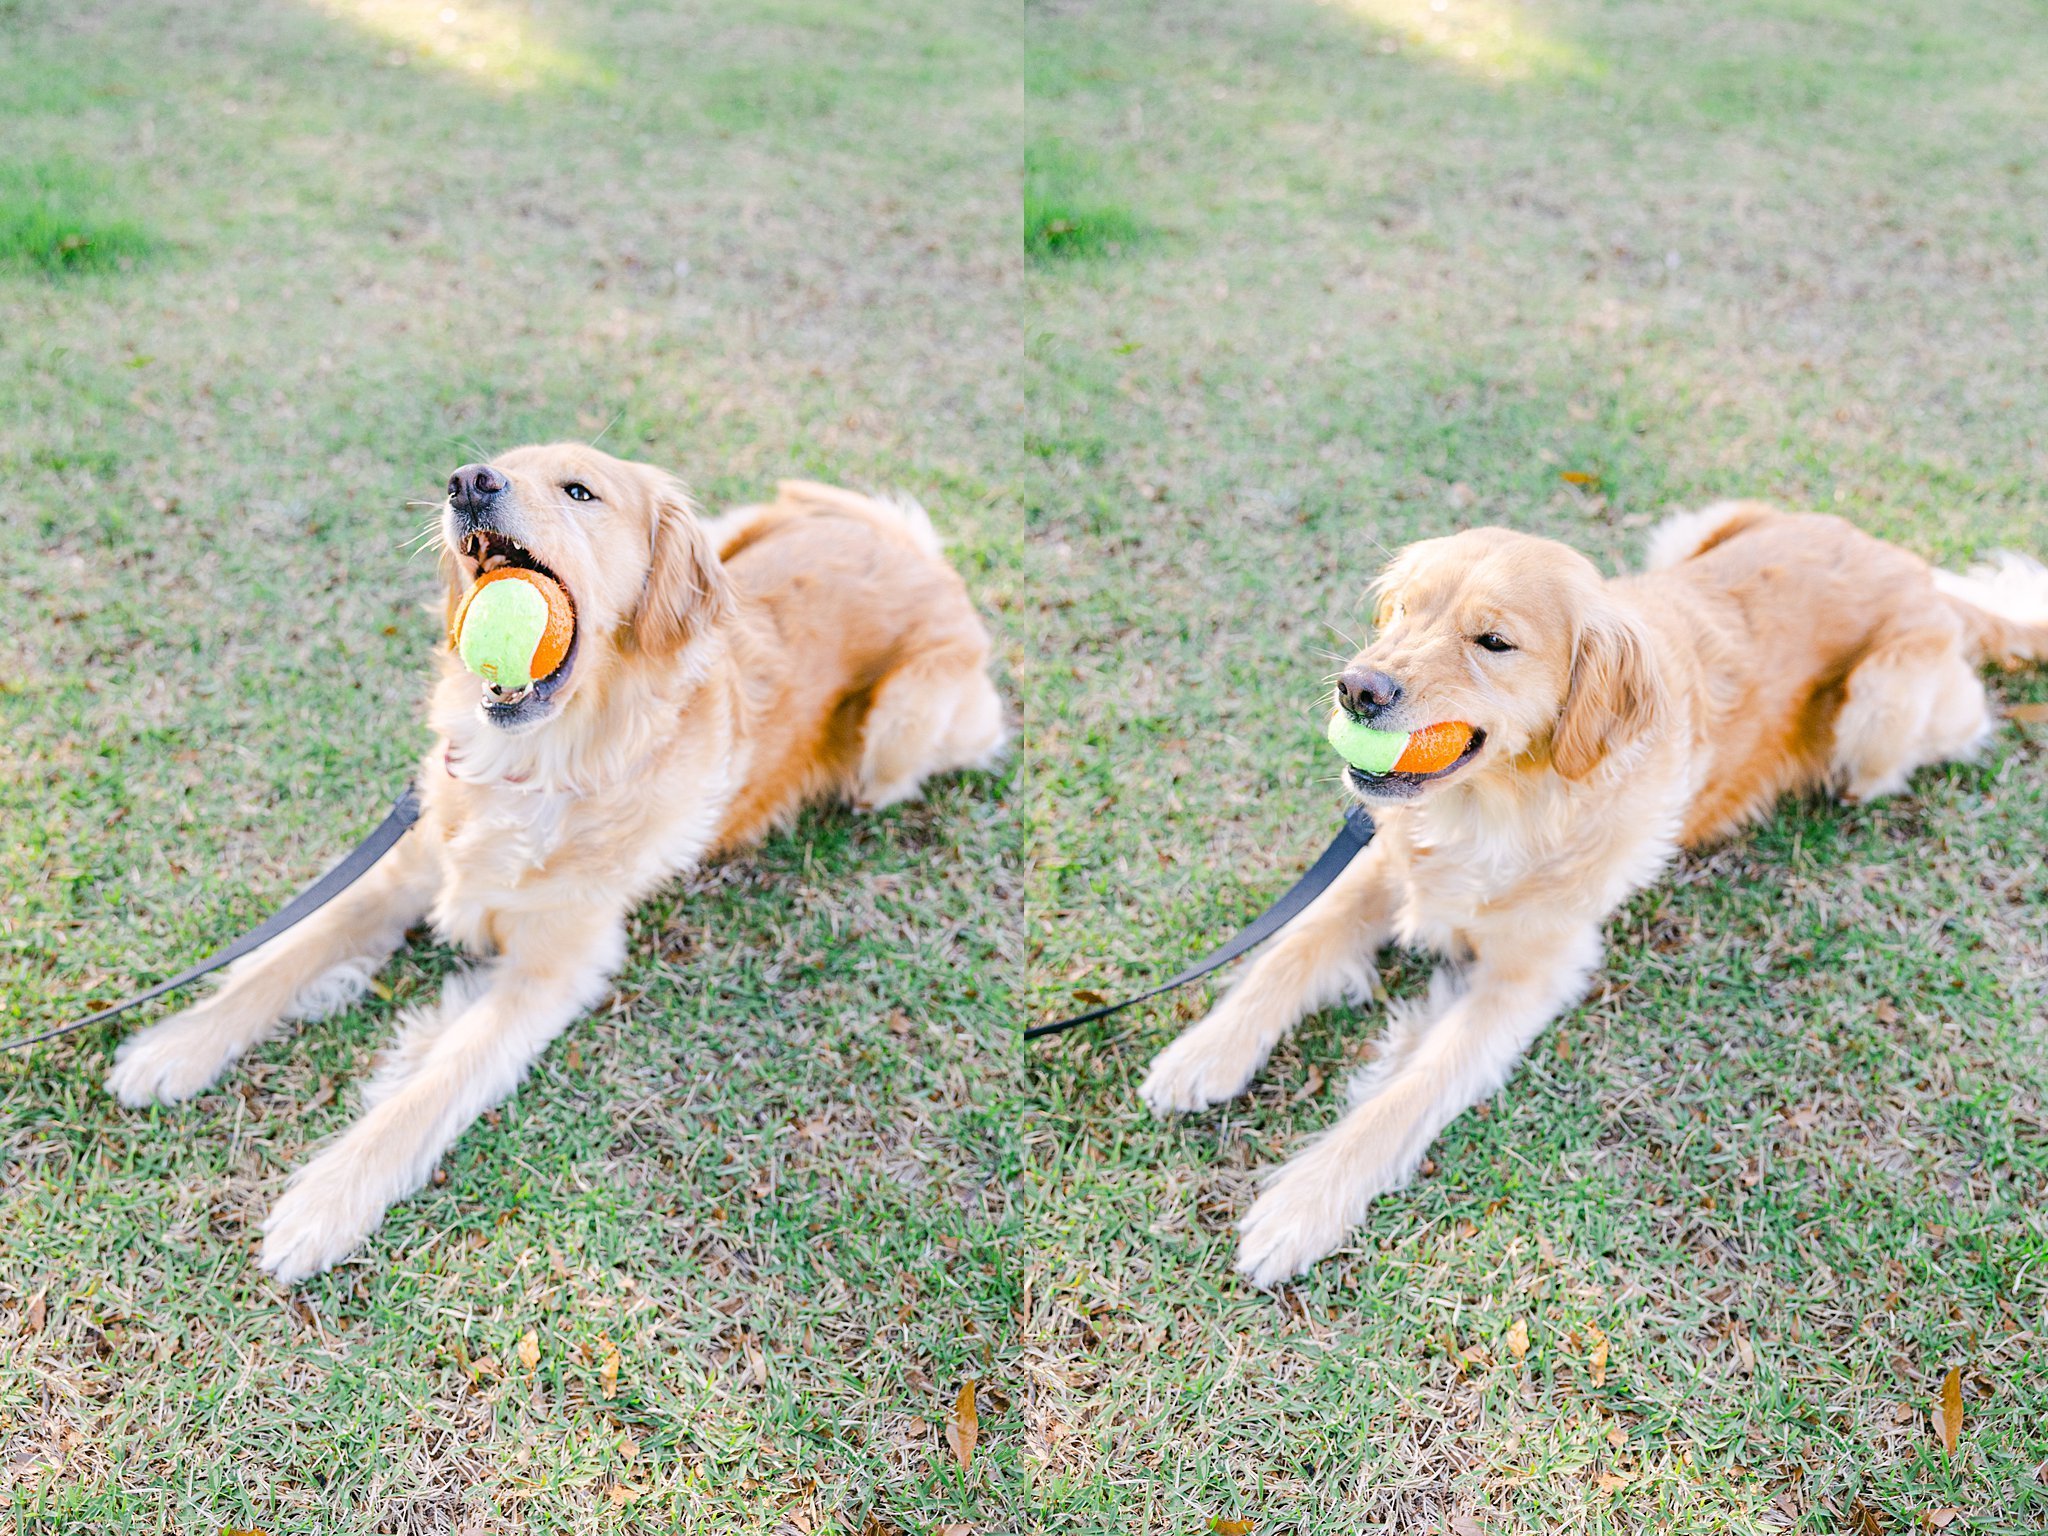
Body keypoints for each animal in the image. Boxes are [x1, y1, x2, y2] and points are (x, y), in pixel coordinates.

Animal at [108, 444, 1003, 1286]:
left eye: (580, 491)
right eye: (490, 466)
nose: (468, 481)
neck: (532, 766)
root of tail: (921, 554)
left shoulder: (555, 969)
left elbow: (433, 1085)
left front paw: (328, 1201)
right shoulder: (402, 872)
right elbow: (283, 956)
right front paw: (175, 1046)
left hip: (898, 730)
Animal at [1146, 505, 2048, 1286]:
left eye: (1494, 641)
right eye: (1398, 613)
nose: (1357, 688)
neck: (1501, 812)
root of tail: (1918, 571)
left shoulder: (1530, 976)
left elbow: (1405, 1095)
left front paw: (1303, 1205)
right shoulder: (1382, 864)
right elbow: (1290, 950)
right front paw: (1204, 1054)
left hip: (1878, 711)